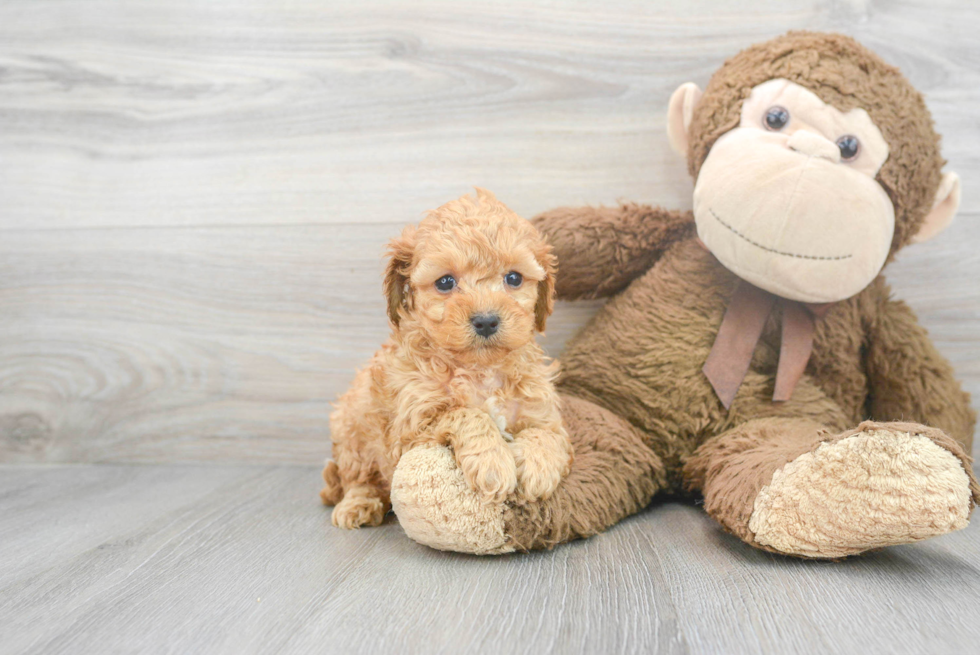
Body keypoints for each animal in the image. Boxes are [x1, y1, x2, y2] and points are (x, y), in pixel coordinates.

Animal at [322, 188, 576, 528]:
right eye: (445, 282)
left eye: (513, 278)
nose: (486, 321)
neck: (480, 370)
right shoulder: (411, 432)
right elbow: (467, 414)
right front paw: (492, 462)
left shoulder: (542, 410)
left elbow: (547, 434)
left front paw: (539, 467)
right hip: (351, 428)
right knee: (356, 477)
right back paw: (357, 504)